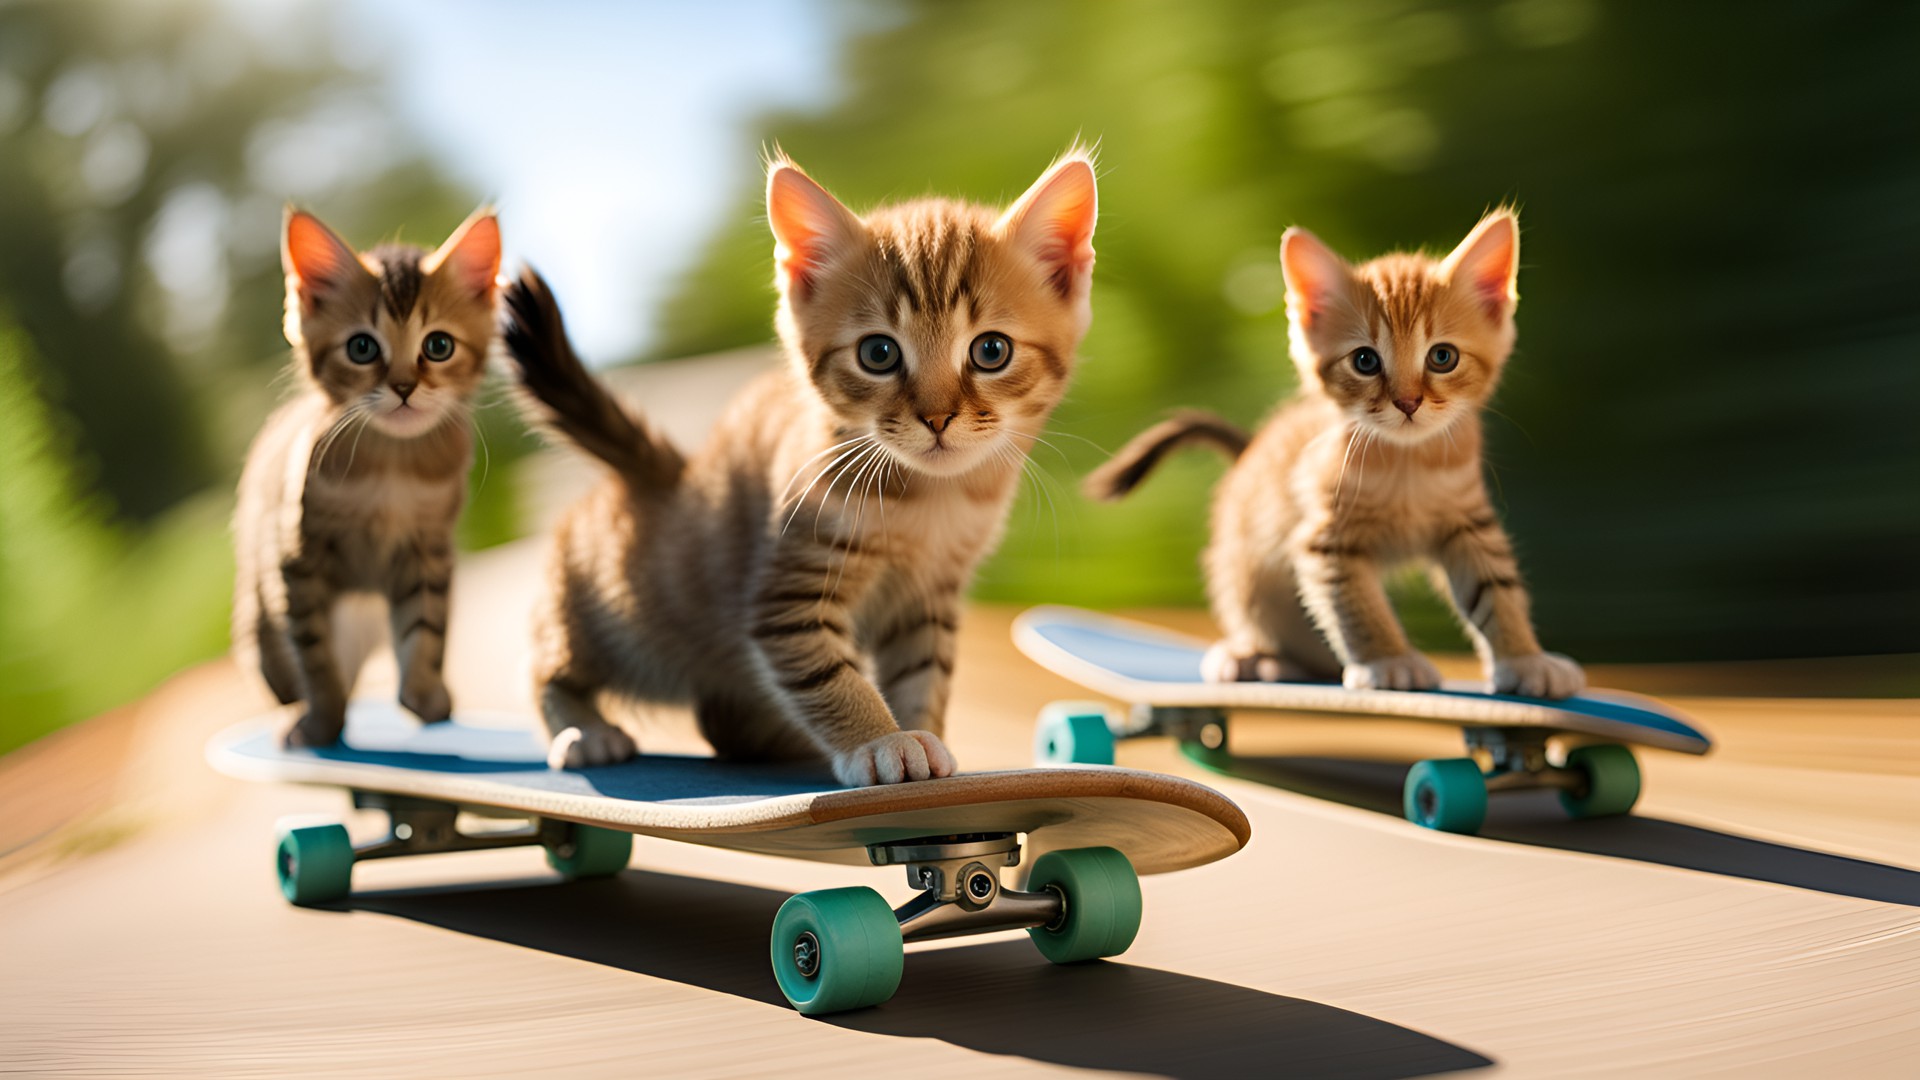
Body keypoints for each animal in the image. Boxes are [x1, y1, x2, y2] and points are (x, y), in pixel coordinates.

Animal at [229, 205, 503, 745]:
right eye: (361, 348)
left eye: (438, 345)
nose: (403, 387)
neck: (390, 469)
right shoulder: (295, 556)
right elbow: (314, 650)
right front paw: (322, 720)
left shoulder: (427, 550)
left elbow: (426, 630)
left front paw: (423, 697)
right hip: (259, 627)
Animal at [499, 147, 1098, 780]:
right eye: (878, 353)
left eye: (991, 351)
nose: (937, 419)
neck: (931, 500)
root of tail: (672, 473)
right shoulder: (786, 598)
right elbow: (829, 674)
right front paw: (879, 741)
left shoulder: (928, 599)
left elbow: (923, 671)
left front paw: (924, 734)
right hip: (613, 619)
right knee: (547, 663)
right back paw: (582, 728)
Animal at [1090, 210, 1582, 699]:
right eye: (1365, 361)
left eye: (1442, 357)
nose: (1408, 403)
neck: (1407, 464)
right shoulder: (1325, 539)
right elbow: (1356, 603)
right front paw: (1389, 659)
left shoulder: (1468, 523)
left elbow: (1497, 589)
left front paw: (1525, 659)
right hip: (1245, 570)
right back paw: (1254, 658)